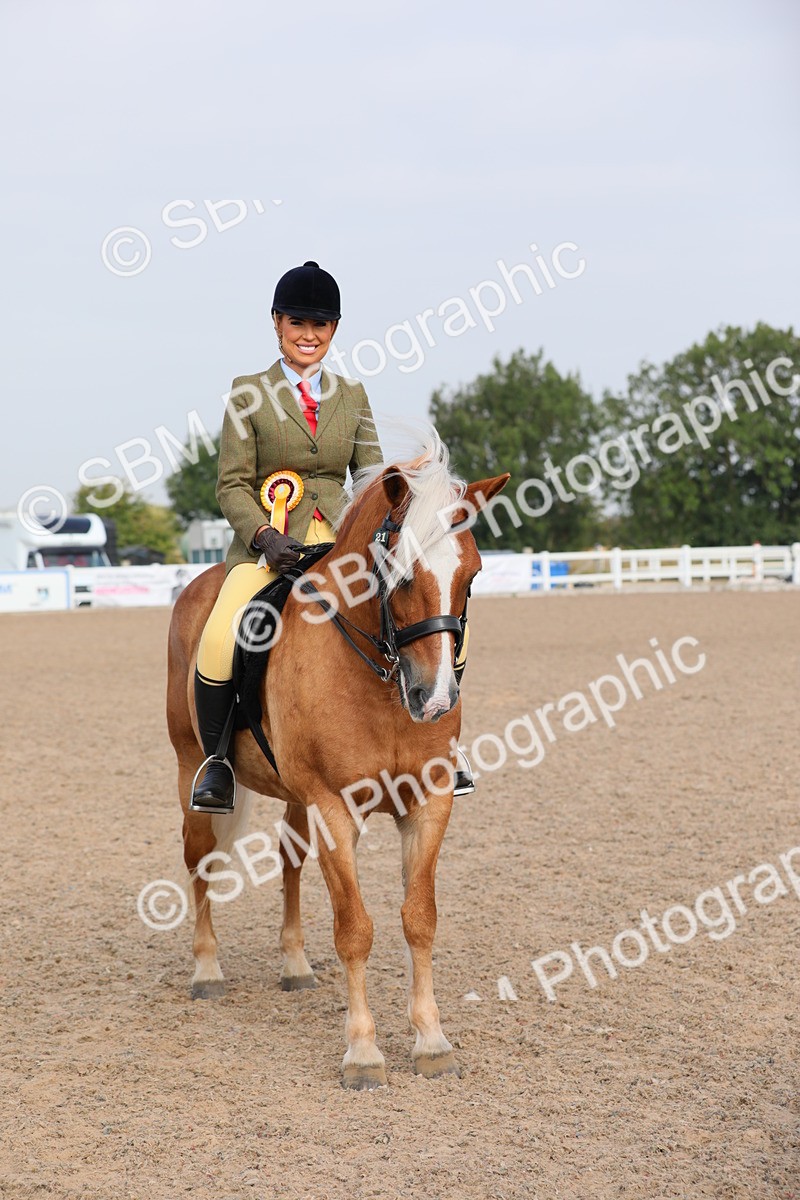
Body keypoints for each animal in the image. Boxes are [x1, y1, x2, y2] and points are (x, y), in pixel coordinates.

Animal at [166, 435, 509, 1089]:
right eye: (399, 574)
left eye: (472, 573)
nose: (434, 701)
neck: (380, 679)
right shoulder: (333, 809)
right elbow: (355, 929)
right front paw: (363, 1053)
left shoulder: (428, 803)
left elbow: (419, 917)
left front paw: (431, 1041)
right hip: (190, 768)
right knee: (200, 860)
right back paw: (206, 971)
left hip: (295, 797)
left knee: (289, 861)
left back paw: (295, 965)